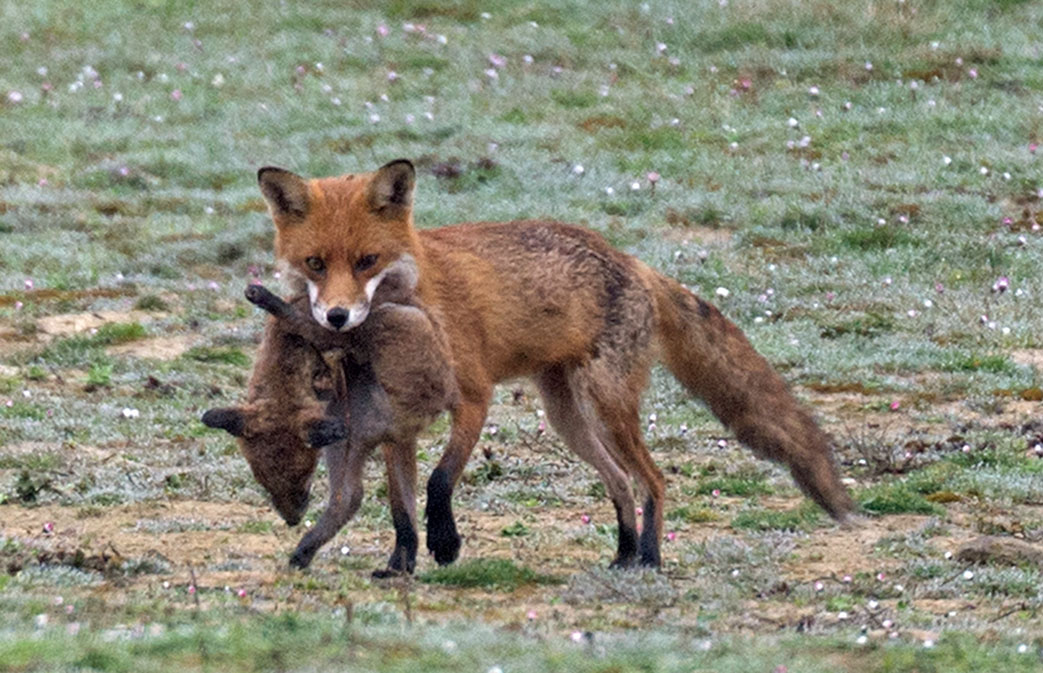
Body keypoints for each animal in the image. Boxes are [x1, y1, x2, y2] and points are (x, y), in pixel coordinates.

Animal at [254, 158, 855, 571]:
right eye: (315, 263)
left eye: (366, 261)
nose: (336, 317)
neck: (413, 301)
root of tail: (632, 260)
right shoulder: (397, 426)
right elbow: (401, 507)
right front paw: (401, 564)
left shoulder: (473, 397)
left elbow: (441, 481)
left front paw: (446, 543)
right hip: (569, 419)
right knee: (620, 483)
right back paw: (623, 554)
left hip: (609, 407)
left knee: (654, 480)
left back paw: (650, 559)